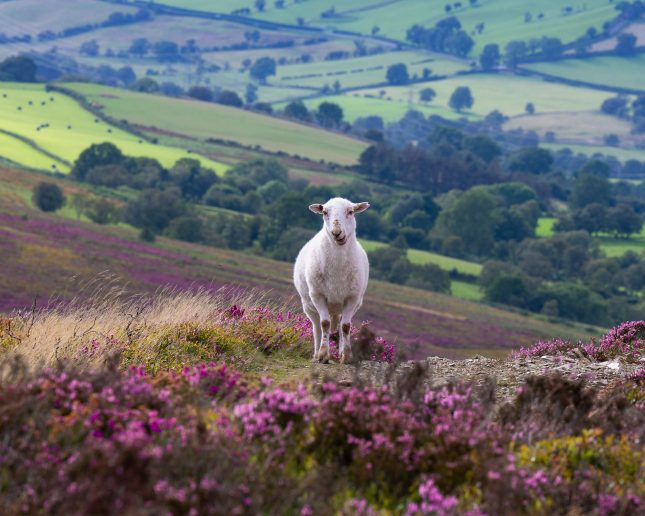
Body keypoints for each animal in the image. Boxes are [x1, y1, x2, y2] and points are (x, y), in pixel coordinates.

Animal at [294, 197, 370, 364]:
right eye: (324, 212)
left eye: (350, 212)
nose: (336, 233)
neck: (337, 269)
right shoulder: (318, 295)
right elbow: (324, 324)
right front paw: (323, 354)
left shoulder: (352, 298)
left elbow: (346, 326)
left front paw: (346, 356)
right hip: (309, 305)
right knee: (316, 326)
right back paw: (316, 353)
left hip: (344, 306)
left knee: (340, 325)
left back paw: (340, 351)